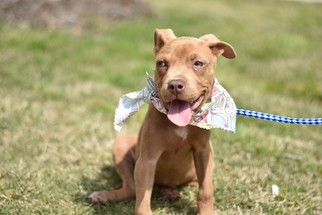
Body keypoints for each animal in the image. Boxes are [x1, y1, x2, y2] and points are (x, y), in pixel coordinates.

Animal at [89, 29, 235, 215]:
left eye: (198, 63)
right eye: (161, 63)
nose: (175, 85)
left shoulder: (204, 152)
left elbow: (206, 189)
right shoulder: (147, 160)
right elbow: (142, 201)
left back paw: (171, 192)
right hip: (121, 145)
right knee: (131, 188)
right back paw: (102, 196)